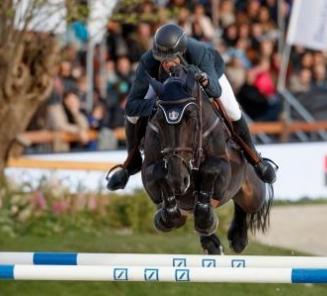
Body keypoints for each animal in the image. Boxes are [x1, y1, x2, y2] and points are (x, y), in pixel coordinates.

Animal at [141, 66, 274, 254]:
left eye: (191, 117)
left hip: (252, 193)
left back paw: (238, 238)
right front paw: (164, 215)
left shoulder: (224, 168)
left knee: (247, 202)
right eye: (159, 118)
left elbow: (210, 169)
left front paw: (208, 220)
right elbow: (158, 173)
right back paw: (212, 243)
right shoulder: (148, 171)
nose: (178, 180)